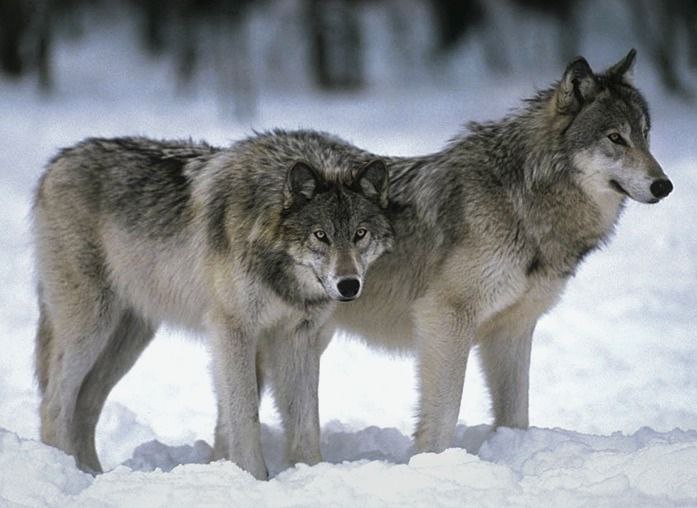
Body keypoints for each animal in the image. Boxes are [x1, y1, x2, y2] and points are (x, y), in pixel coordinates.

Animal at [32, 132, 393, 479]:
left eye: (360, 233)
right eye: (321, 235)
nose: (349, 285)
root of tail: (57, 162)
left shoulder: (298, 338)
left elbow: (306, 421)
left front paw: (311, 472)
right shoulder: (234, 330)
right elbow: (245, 415)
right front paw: (254, 478)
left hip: (128, 341)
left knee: (85, 405)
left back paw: (92, 473)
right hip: (91, 327)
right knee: (54, 404)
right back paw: (70, 470)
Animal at [316, 50, 671, 453]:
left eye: (645, 135)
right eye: (615, 138)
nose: (664, 185)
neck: (522, 203)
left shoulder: (512, 329)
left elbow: (516, 415)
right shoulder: (445, 317)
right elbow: (442, 416)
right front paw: (433, 461)